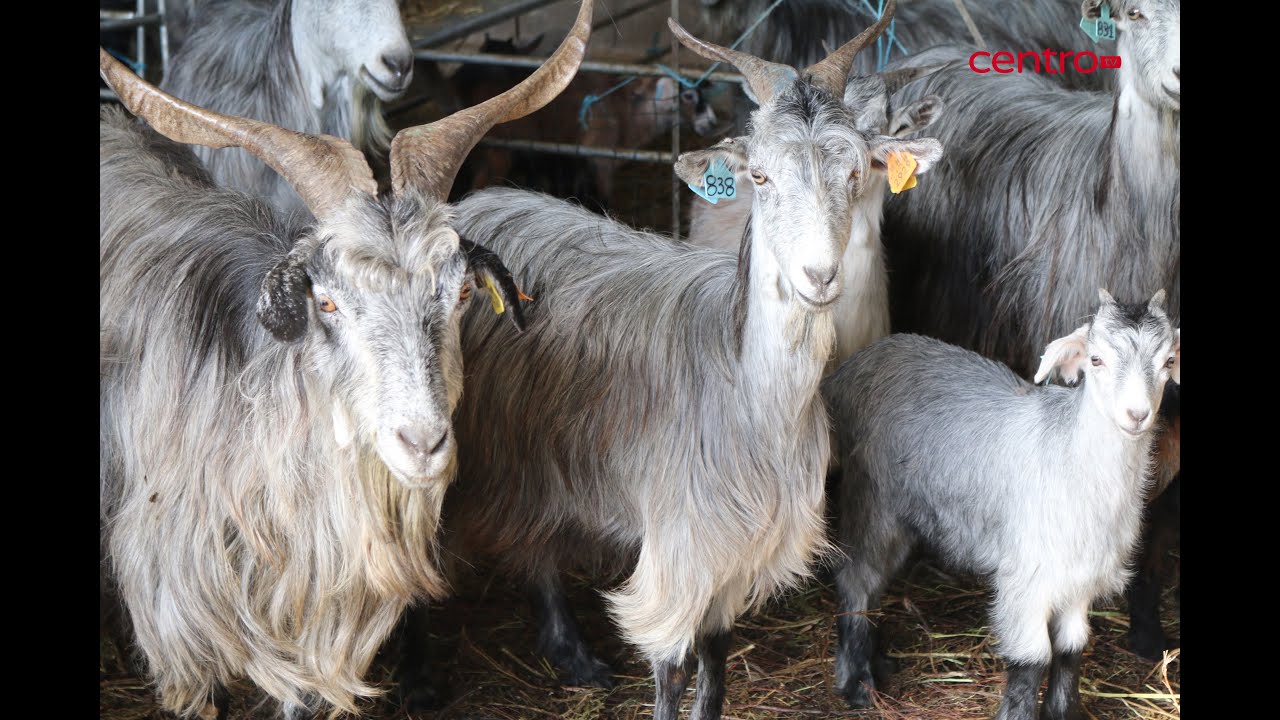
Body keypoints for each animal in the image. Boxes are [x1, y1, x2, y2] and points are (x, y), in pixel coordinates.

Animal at [396, 4, 943, 718]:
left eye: (856, 171)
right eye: (759, 176)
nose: (820, 277)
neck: (750, 397)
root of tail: (472, 207)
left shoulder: (732, 555)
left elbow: (714, 666)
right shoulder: (678, 552)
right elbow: (673, 672)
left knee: (535, 542)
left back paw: (573, 653)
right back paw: (418, 677)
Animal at [823, 289, 1180, 720]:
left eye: (1168, 361)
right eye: (1096, 360)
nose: (1137, 414)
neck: (1070, 451)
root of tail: (853, 369)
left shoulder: (1078, 578)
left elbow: (1071, 648)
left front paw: (1064, 711)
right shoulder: (1027, 577)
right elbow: (1032, 660)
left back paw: (880, 663)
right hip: (873, 500)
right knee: (857, 580)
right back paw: (858, 682)